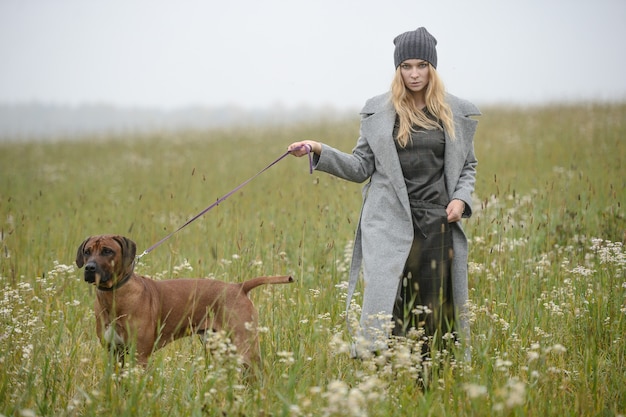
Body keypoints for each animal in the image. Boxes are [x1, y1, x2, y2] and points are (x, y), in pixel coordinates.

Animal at [75, 234, 292, 368]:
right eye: (87, 251)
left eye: (107, 251)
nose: (89, 268)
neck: (114, 296)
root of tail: (239, 286)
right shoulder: (114, 354)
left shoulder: (140, 356)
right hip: (219, 345)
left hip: (245, 345)